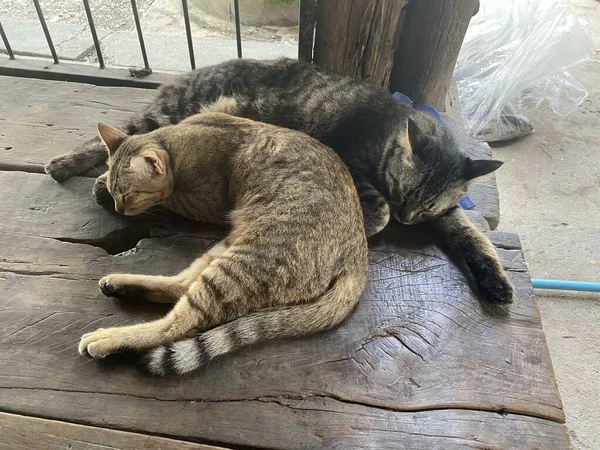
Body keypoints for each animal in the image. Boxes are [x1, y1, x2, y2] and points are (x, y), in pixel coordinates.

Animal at [47, 56, 512, 302]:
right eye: (404, 190)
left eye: (426, 204)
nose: (409, 219)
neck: (390, 130)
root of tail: (195, 71)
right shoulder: (357, 170)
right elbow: (376, 213)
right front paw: (367, 225)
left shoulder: (446, 212)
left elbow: (473, 236)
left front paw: (496, 279)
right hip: (170, 115)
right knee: (120, 140)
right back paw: (72, 169)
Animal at [78, 106, 370, 376]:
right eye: (117, 192)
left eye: (129, 195)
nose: (119, 208)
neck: (175, 142)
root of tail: (358, 255)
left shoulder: (203, 203)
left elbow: (167, 198)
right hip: (226, 249)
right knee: (181, 285)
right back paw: (122, 284)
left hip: (241, 266)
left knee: (179, 324)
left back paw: (109, 338)